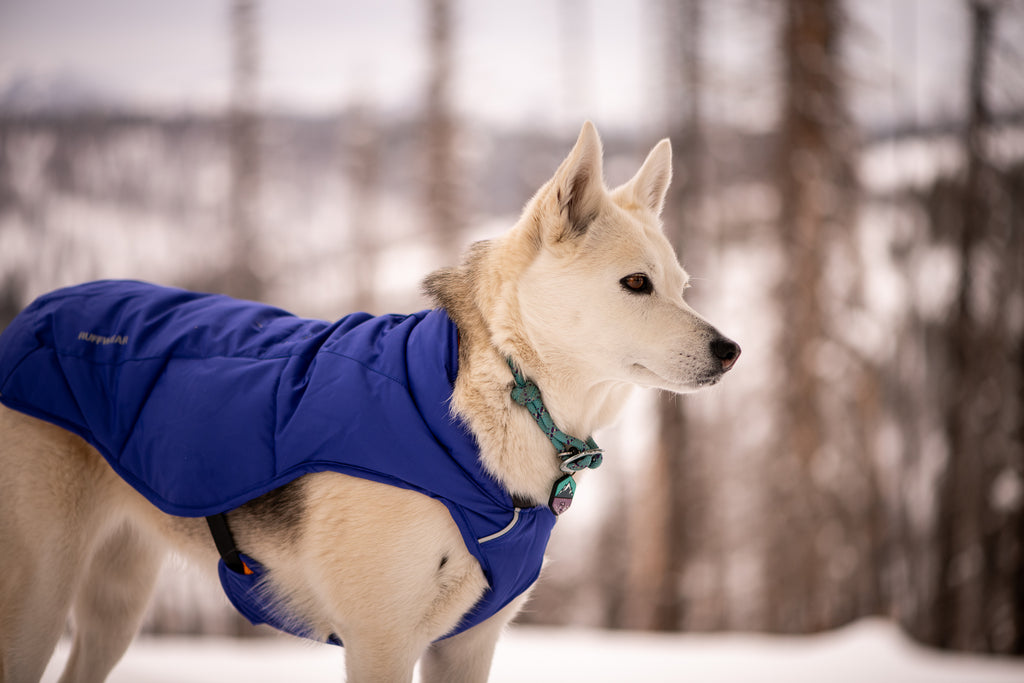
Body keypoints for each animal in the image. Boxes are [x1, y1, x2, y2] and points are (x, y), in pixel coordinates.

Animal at [0, 122, 737, 683]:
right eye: (635, 284)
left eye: (682, 286)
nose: (731, 350)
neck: (498, 393)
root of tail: (36, 312)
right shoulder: (381, 644)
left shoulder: (466, 647)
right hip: (37, 600)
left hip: (115, 603)